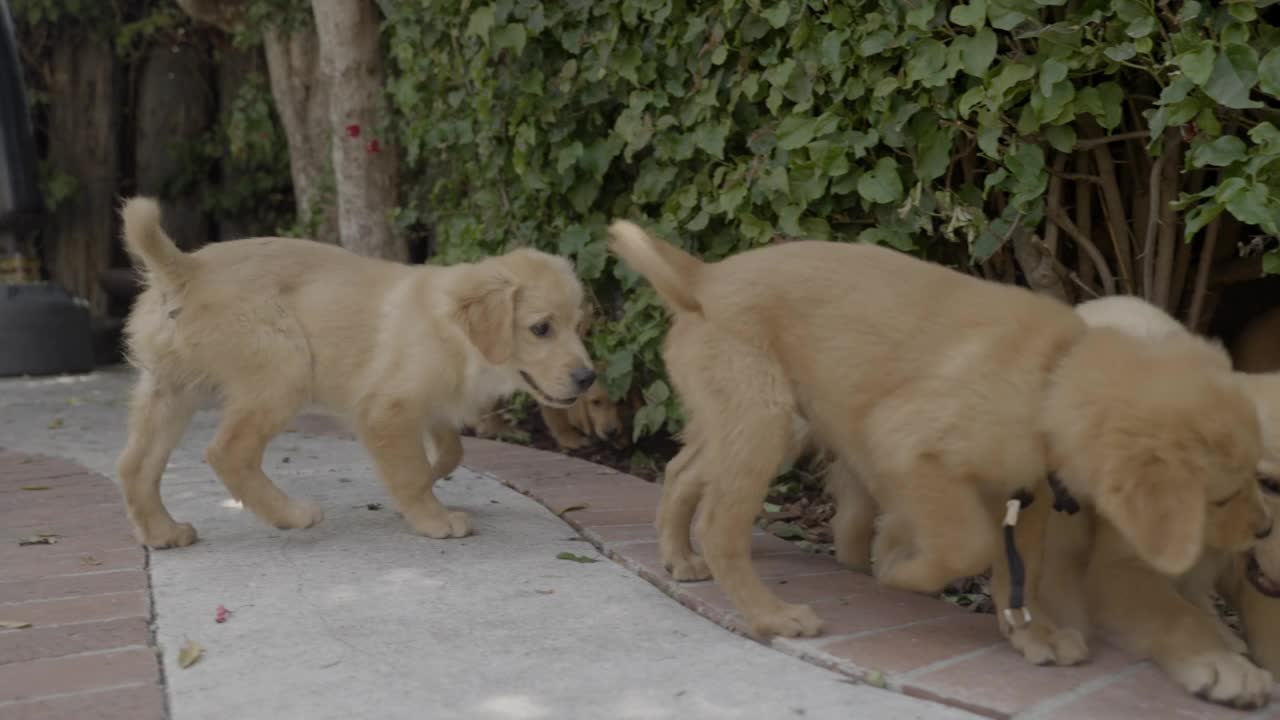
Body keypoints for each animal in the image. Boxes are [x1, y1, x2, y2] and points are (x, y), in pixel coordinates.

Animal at [115, 194, 593, 543]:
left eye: (577, 325)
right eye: (541, 329)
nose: (588, 378)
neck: (459, 336)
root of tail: (186, 267)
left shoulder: (431, 407)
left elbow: (450, 451)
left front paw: (429, 482)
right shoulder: (386, 408)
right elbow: (411, 472)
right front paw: (434, 519)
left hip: (170, 389)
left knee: (136, 466)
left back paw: (163, 533)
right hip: (284, 368)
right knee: (227, 452)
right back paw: (291, 514)